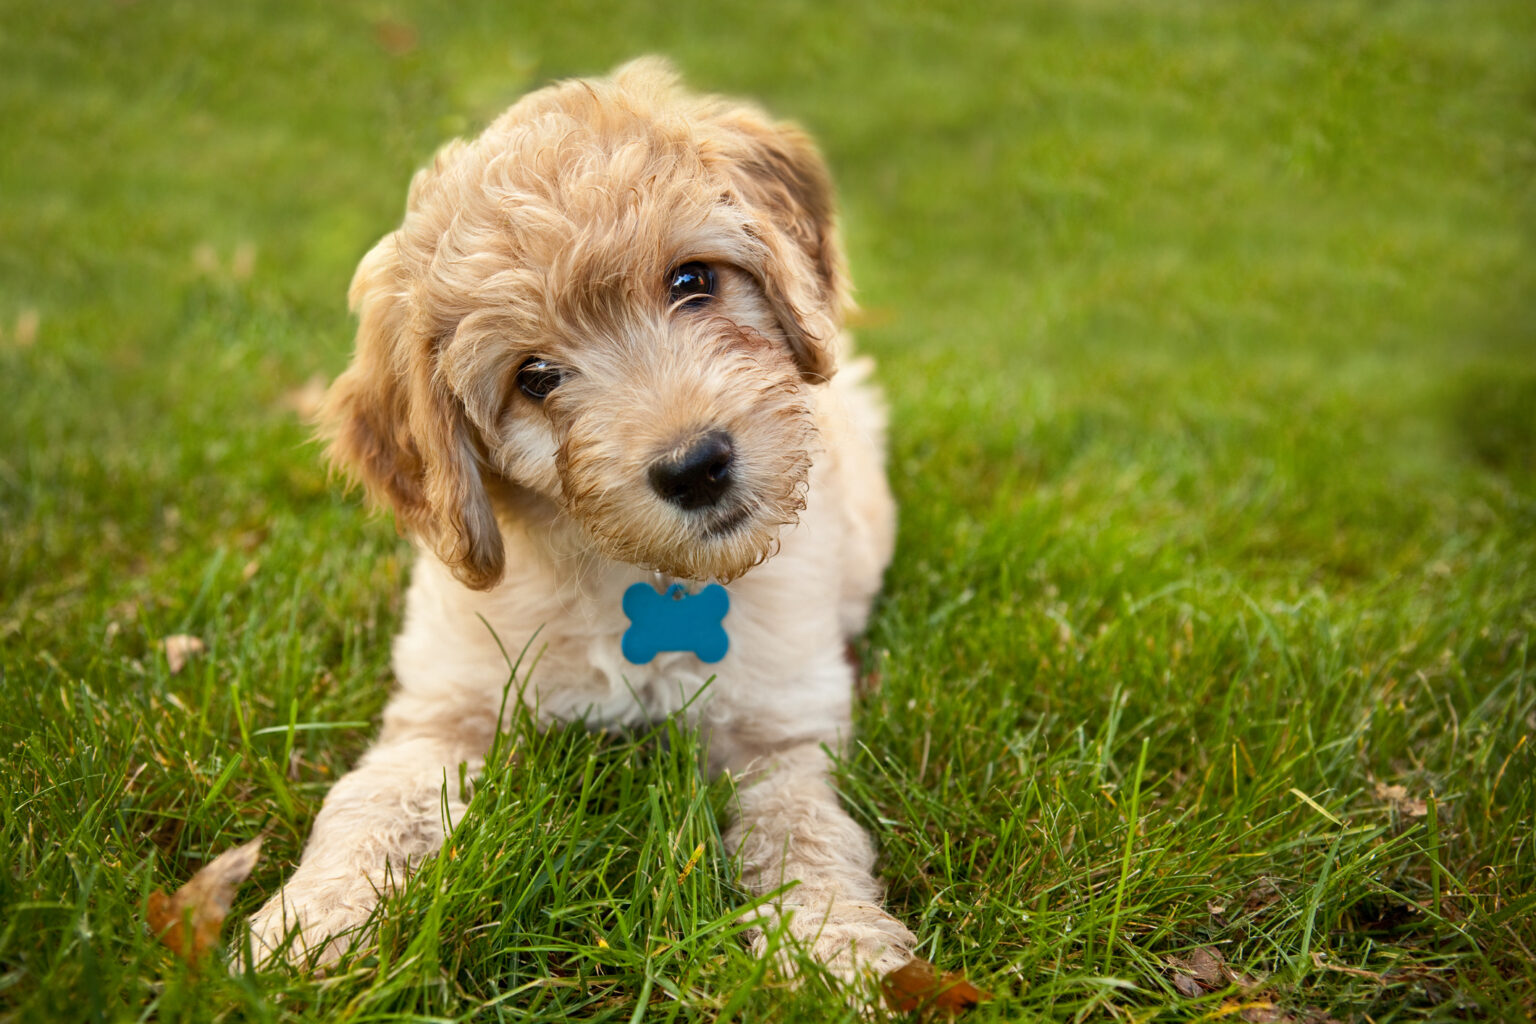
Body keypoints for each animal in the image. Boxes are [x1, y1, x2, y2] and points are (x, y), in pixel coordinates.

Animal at [247, 57, 915, 982]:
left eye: (691, 280)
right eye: (534, 377)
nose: (696, 466)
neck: (640, 576)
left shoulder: (781, 730)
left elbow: (806, 834)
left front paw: (836, 950)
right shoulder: (446, 706)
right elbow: (372, 798)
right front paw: (306, 922)